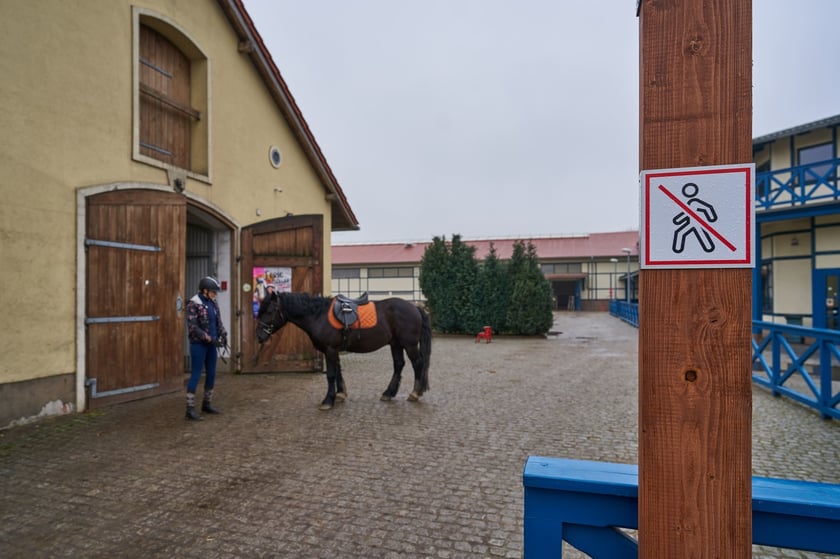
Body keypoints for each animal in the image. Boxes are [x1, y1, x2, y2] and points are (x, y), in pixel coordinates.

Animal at [256, 294, 430, 412]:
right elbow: (338, 371)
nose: (259, 336)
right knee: (399, 365)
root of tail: (415, 307)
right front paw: (340, 394)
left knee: (418, 364)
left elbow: (331, 374)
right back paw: (389, 393)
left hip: (409, 344)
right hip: (396, 344)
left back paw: (415, 393)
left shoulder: (330, 349)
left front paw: (328, 401)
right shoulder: (333, 351)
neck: (318, 315)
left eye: (269, 311)